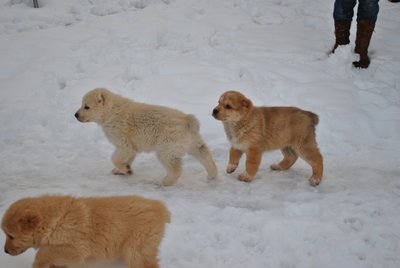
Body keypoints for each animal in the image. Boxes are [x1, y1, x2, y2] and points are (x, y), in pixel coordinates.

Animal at [1, 195, 170, 268]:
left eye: (11, 236)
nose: (5, 251)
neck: (55, 222)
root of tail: (159, 207)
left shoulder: (76, 251)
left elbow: (44, 252)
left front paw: (38, 264)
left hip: (136, 248)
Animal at [75, 89, 219, 185]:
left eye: (86, 106)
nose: (76, 115)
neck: (112, 111)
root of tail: (187, 121)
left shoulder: (120, 132)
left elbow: (121, 152)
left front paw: (125, 169)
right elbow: (130, 153)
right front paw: (123, 170)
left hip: (168, 141)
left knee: (171, 161)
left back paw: (165, 181)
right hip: (191, 139)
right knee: (202, 151)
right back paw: (212, 174)